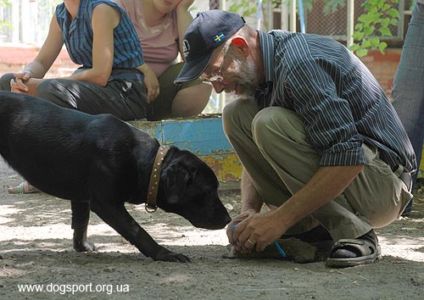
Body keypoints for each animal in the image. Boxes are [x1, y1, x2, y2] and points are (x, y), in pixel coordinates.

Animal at [0, 92, 230, 262]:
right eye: (209, 191)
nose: (228, 219)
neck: (145, 162)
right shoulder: (106, 203)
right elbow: (137, 231)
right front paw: (165, 254)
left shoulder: (82, 197)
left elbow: (81, 223)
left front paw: (82, 246)